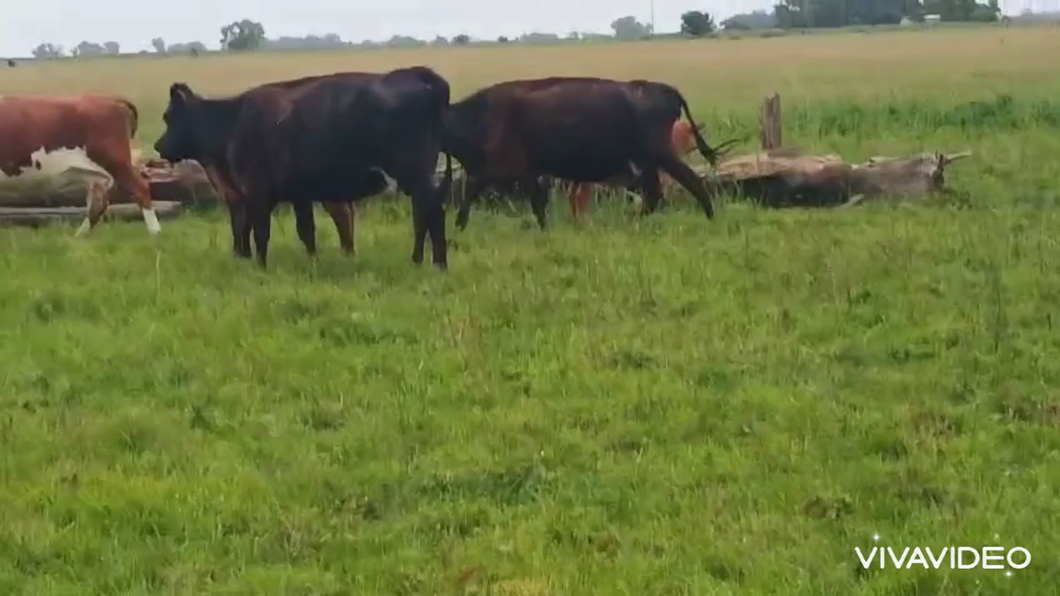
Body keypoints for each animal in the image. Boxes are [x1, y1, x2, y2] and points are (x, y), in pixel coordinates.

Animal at [0, 94, 160, 236]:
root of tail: (111, 99)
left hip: (116, 162)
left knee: (140, 189)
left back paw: (155, 233)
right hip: (96, 175)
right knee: (98, 203)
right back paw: (79, 236)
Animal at [153, 66, 453, 269]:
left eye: (169, 116)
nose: (158, 145)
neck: (234, 120)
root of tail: (417, 74)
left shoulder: (257, 191)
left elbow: (260, 232)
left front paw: (260, 267)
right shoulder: (298, 193)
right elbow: (305, 231)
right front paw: (312, 261)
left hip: (415, 173)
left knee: (433, 212)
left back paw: (438, 265)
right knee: (422, 214)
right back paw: (417, 260)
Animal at [443, 76, 736, 231]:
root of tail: (660, 87)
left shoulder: (509, 166)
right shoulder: (513, 170)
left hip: (660, 154)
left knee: (690, 182)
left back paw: (709, 218)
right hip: (647, 162)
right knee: (655, 195)